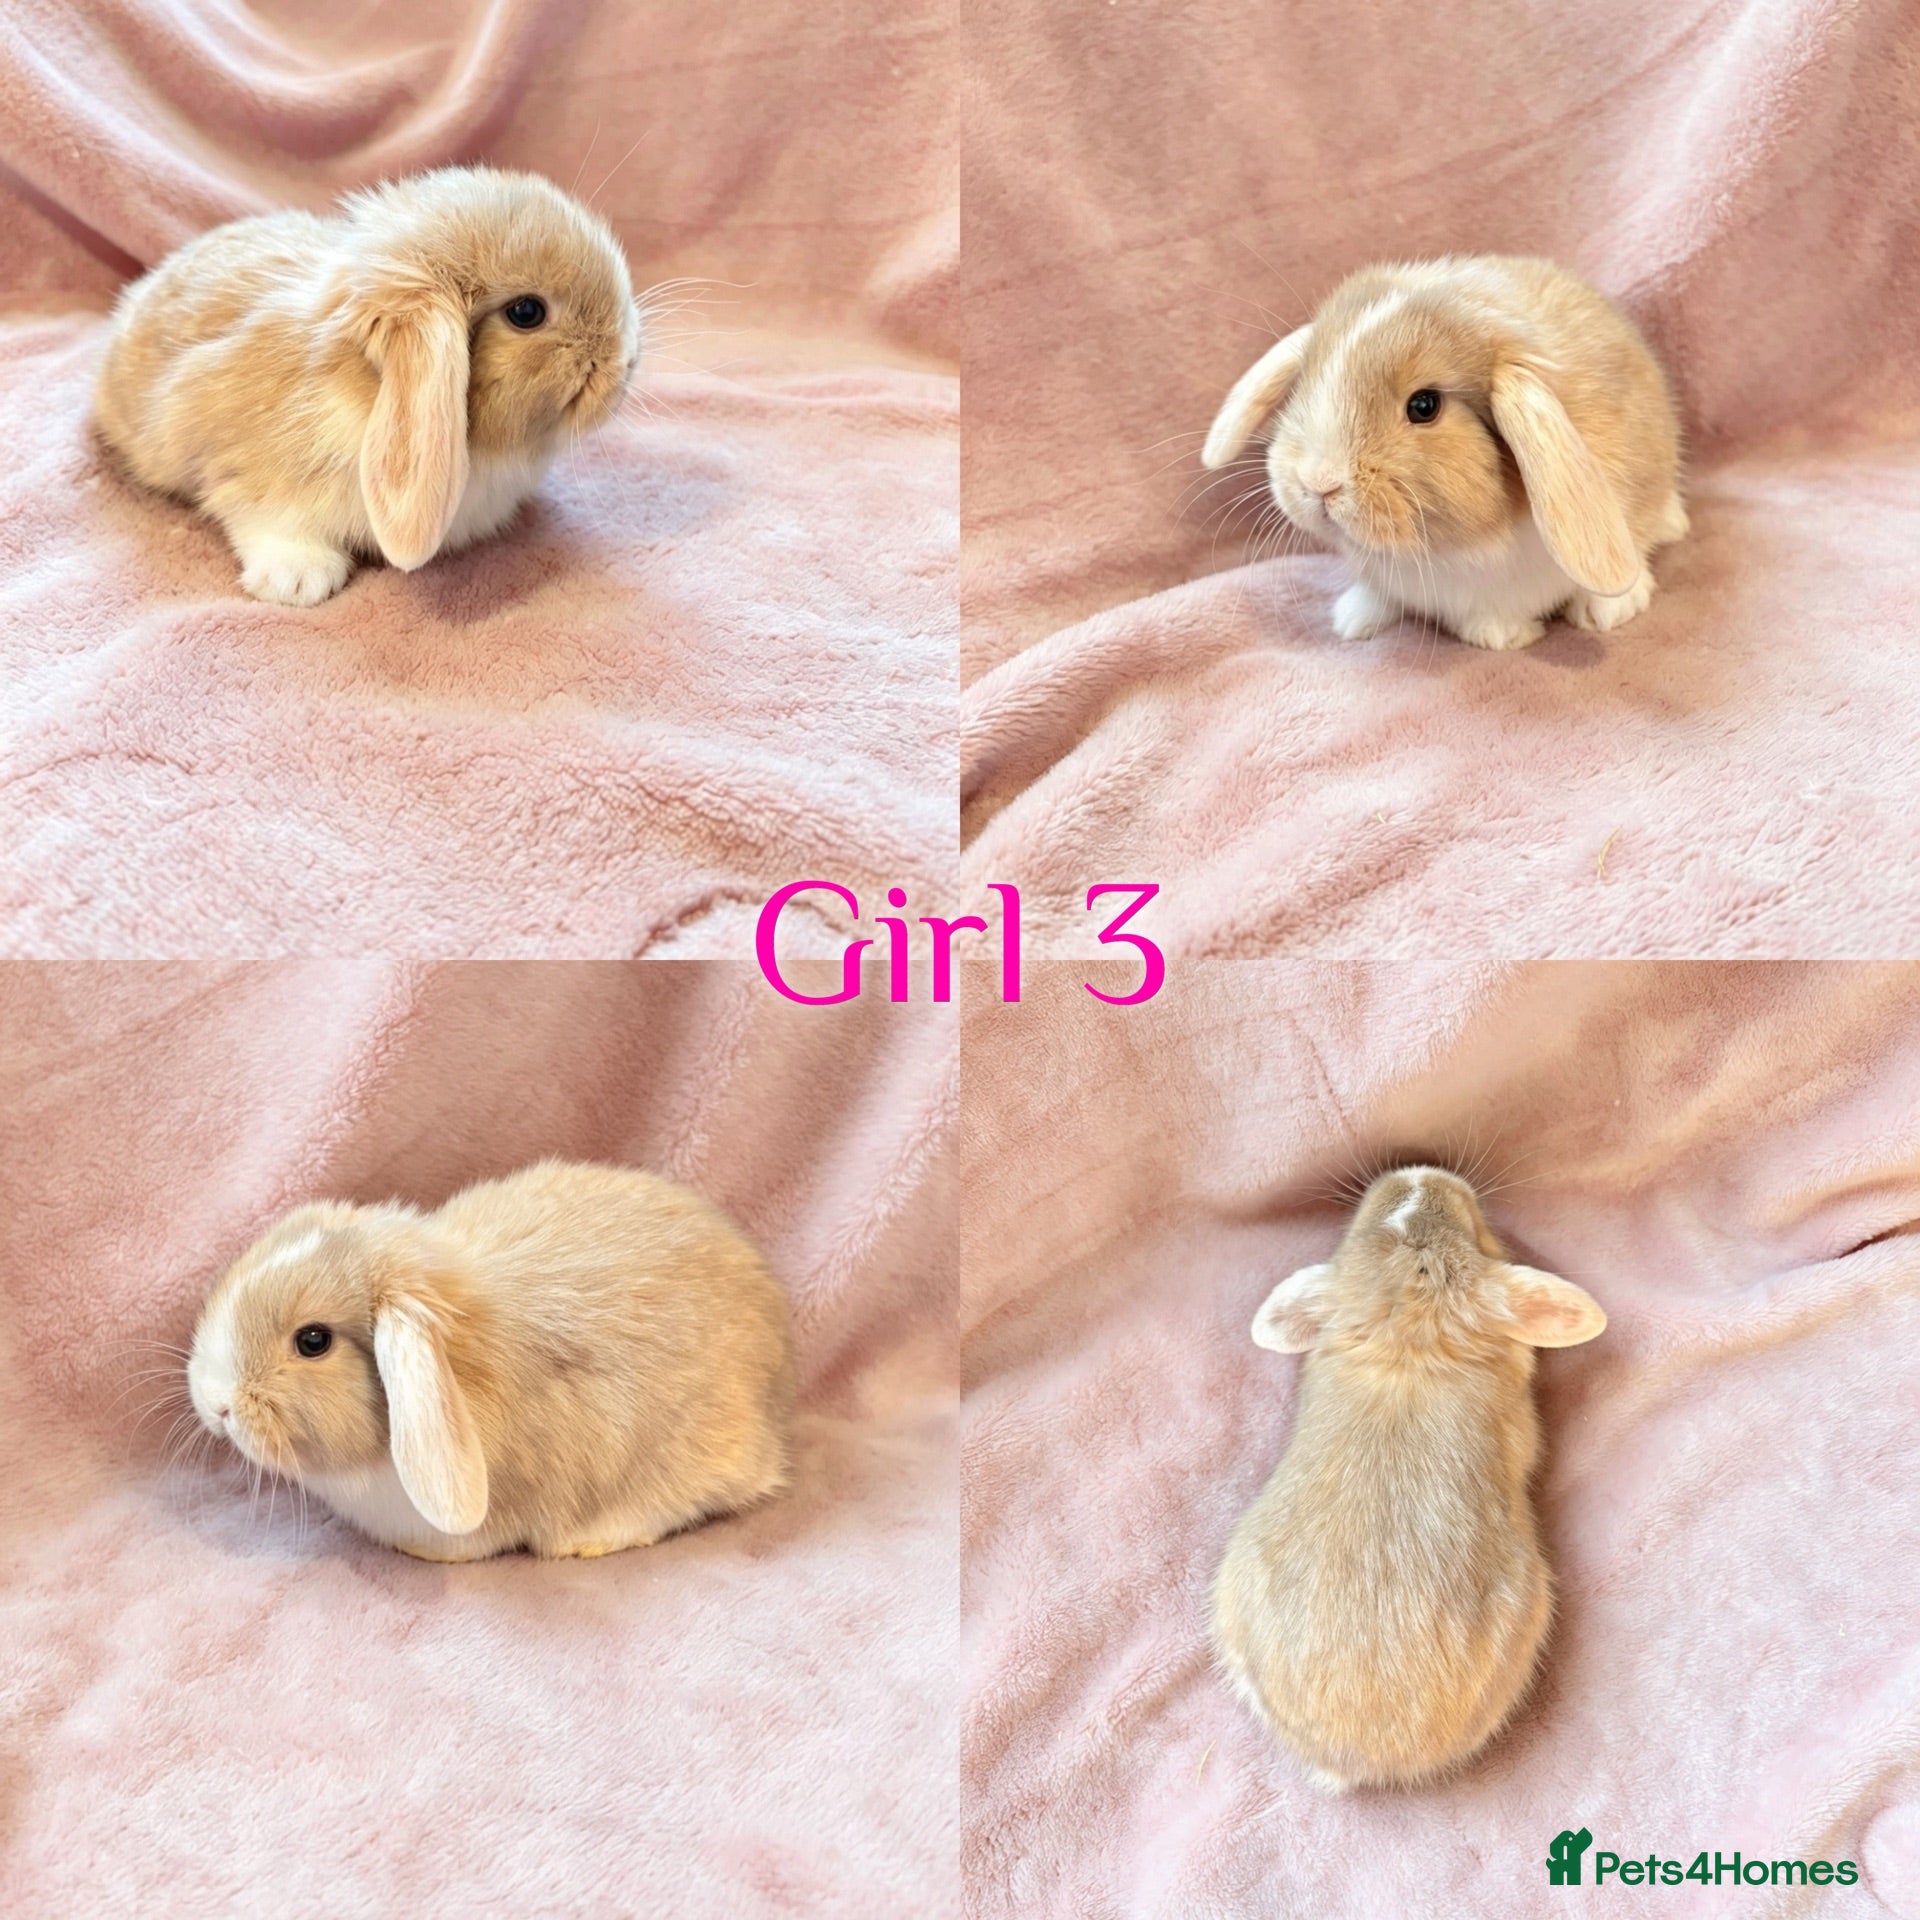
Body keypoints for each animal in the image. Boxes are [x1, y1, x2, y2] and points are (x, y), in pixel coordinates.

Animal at [1201, 255, 1687, 650]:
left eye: (1425, 406)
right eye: (1306, 379)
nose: (1319, 482)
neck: (1445, 551)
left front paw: (1500, 635)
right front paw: (1351, 620)